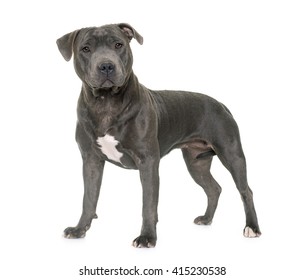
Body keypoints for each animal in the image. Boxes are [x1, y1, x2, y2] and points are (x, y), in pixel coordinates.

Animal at [55, 23, 260, 248]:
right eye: (85, 49)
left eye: (118, 44)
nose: (106, 66)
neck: (106, 103)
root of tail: (221, 104)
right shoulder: (91, 161)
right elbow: (89, 198)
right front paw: (79, 229)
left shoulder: (148, 162)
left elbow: (148, 204)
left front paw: (147, 237)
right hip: (196, 163)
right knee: (213, 188)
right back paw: (206, 219)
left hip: (232, 155)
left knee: (246, 191)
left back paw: (252, 227)